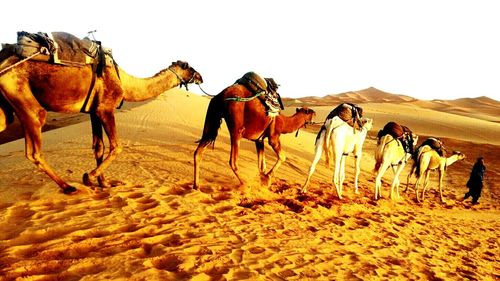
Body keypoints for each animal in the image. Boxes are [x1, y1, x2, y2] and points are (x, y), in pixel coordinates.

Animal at [0, 42, 203, 194]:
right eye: (190, 68)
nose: (201, 77)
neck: (125, 83)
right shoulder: (105, 108)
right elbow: (116, 146)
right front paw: (88, 177)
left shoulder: (93, 111)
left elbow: (99, 146)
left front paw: (104, 183)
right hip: (22, 96)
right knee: (34, 151)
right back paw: (68, 187)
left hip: (7, 107)